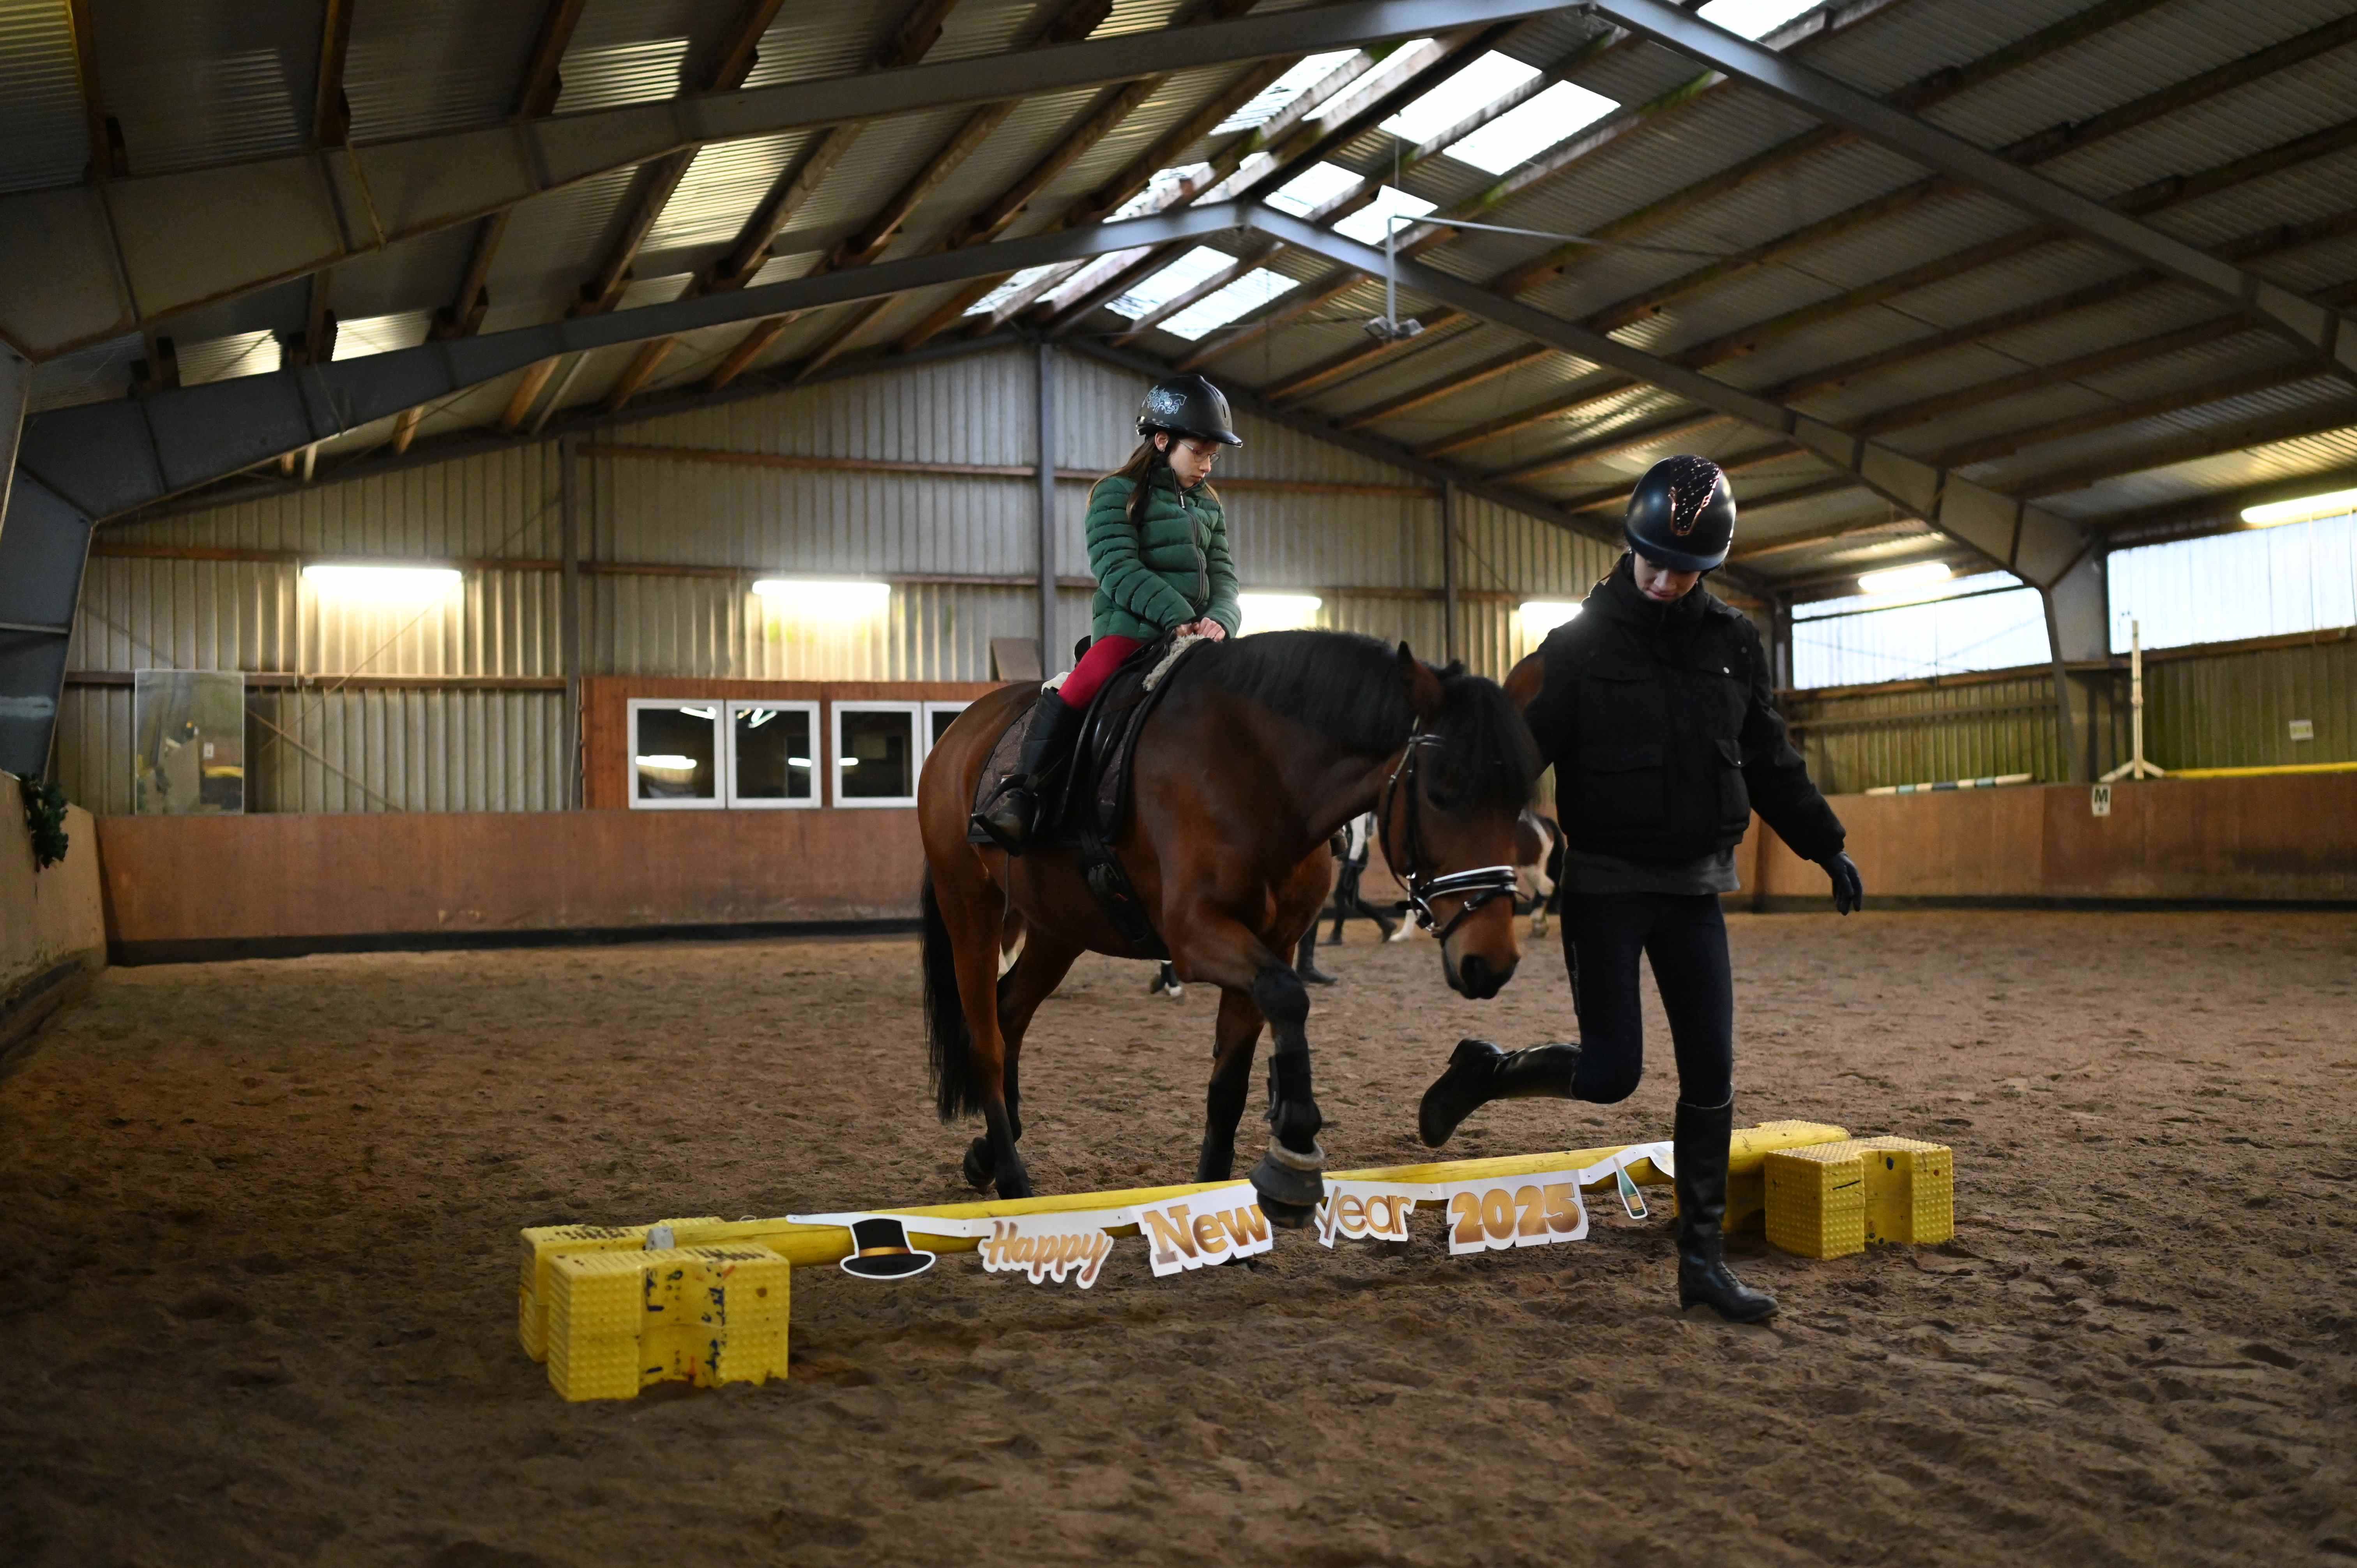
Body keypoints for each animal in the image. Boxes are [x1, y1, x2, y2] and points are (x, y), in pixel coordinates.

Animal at [916, 632, 1538, 1226]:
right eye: (1440, 794)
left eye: (1518, 801)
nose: (1491, 961)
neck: (1259, 772)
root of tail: (962, 729)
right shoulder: (1198, 935)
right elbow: (1289, 996)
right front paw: (1294, 1146)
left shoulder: (1272, 941)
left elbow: (1230, 1084)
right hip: (969, 907)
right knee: (987, 1042)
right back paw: (1013, 1181)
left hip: (1060, 929)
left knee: (1011, 1012)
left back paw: (987, 1157)